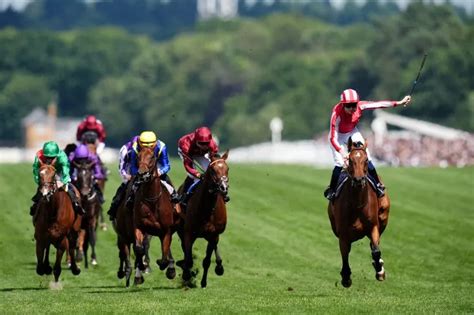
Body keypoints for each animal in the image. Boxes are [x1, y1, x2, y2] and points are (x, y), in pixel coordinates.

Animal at [178, 151, 230, 288]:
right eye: (212, 170)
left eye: (227, 168)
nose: (223, 188)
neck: (206, 208)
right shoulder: (188, 233)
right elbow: (188, 258)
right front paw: (187, 275)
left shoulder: (213, 235)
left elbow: (206, 261)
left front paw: (203, 282)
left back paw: (219, 266)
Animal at [328, 139, 390, 288]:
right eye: (350, 160)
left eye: (366, 160)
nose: (358, 179)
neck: (357, 204)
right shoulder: (343, 234)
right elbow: (345, 254)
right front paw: (346, 276)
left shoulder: (373, 226)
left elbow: (376, 250)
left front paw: (380, 271)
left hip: (383, 216)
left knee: (374, 245)